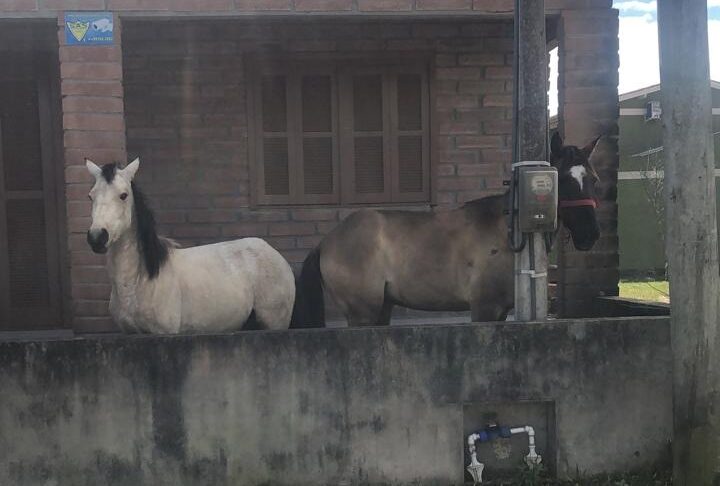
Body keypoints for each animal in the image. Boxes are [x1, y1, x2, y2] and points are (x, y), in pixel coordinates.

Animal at [85, 158, 296, 332]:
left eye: (123, 195)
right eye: (91, 196)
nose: (97, 237)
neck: (140, 279)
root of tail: (273, 252)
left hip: (275, 323)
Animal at [292, 134, 600, 326]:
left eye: (593, 180)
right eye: (562, 180)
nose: (590, 235)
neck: (504, 231)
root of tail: (327, 242)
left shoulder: (500, 312)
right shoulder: (484, 309)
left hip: (381, 309)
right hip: (362, 313)